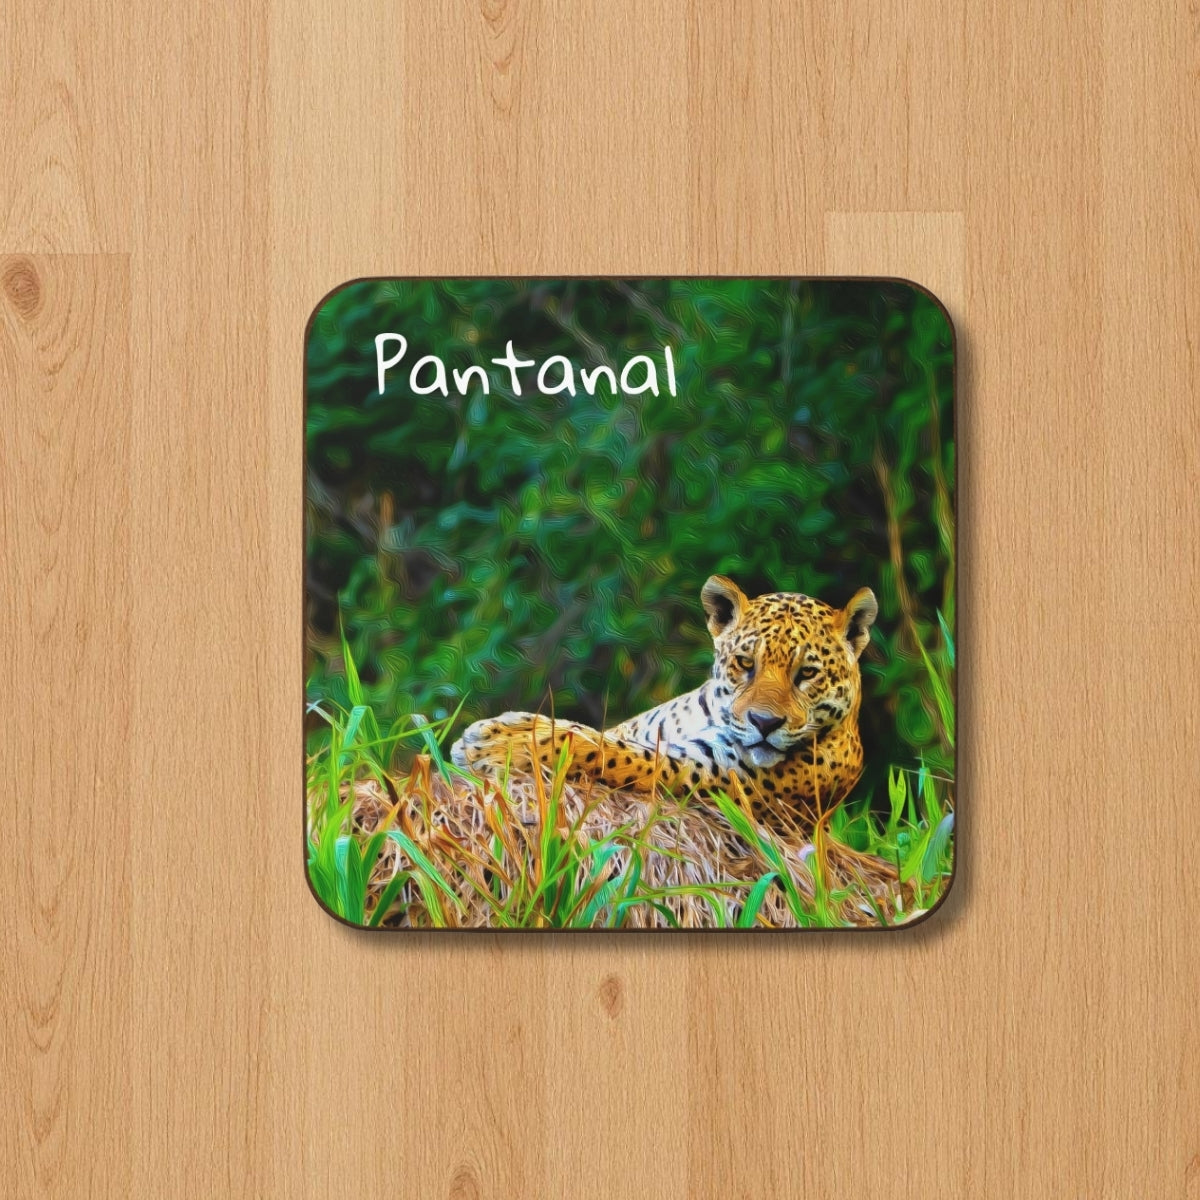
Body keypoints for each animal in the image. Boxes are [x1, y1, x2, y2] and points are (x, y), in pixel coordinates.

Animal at [450, 575, 878, 830]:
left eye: (807, 673)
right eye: (745, 663)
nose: (764, 723)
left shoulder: (703, 772)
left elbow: (610, 751)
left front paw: (496, 743)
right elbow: (600, 734)